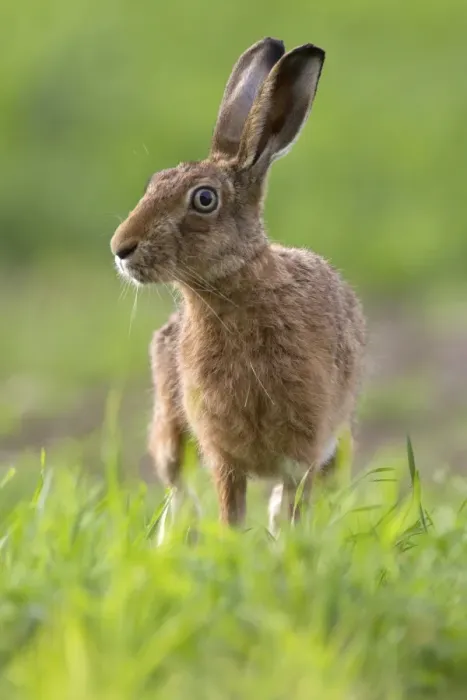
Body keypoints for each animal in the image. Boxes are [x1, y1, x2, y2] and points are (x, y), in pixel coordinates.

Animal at [110, 37, 367, 538]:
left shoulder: (303, 451)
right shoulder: (223, 454)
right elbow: (231, 513)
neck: (233, 291)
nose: (121, 248)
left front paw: (288, 547)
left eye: (204, 199)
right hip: (171, 430)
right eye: (153, 183)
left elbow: (291, 509)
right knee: (178, 493)